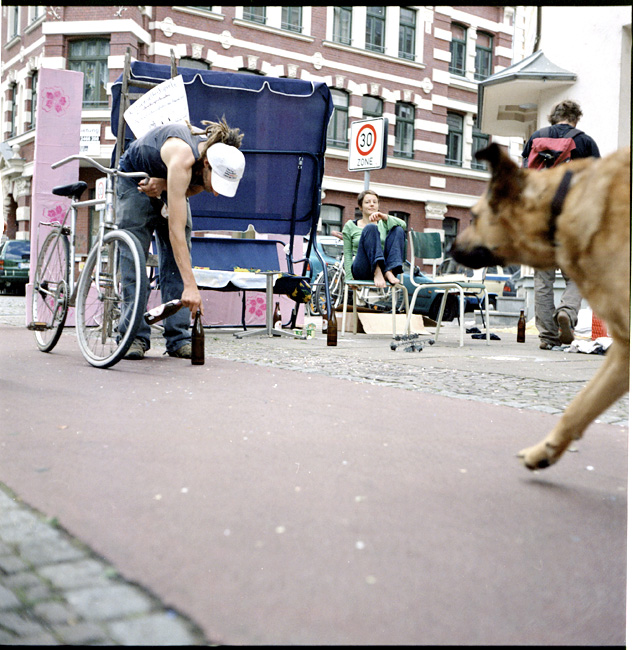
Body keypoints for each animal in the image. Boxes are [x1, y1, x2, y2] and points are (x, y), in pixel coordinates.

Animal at [452, 143, 628, 466]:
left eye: (472, 216)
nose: (450, 248)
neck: (564, 202)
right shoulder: (623, 350)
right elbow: (578, 407)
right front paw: (544, 451)